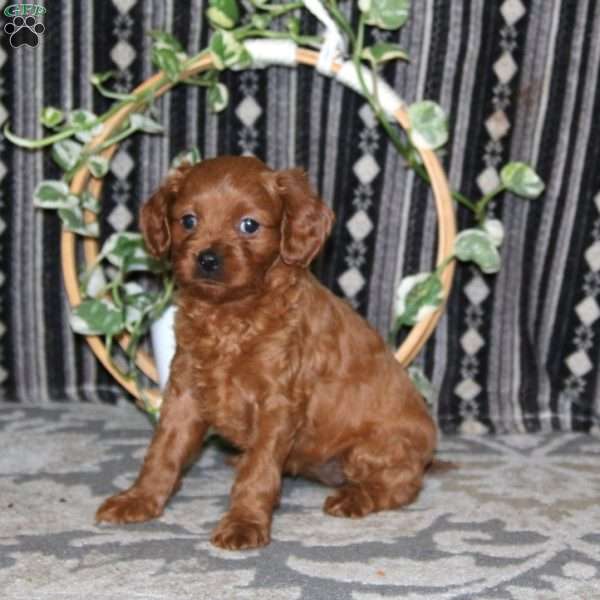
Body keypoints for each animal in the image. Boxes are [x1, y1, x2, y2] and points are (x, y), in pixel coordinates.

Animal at [97, 157, 436, 552]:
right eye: (188, 220)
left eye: (249, 225)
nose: (207, 259)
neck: (229, 316)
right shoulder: (184, 393)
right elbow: (162, 453)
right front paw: (139, 500)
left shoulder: (277, 403)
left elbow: (259, 470)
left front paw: (244, 523)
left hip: (373, 449)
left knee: (403, 486)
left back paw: (355, 497)